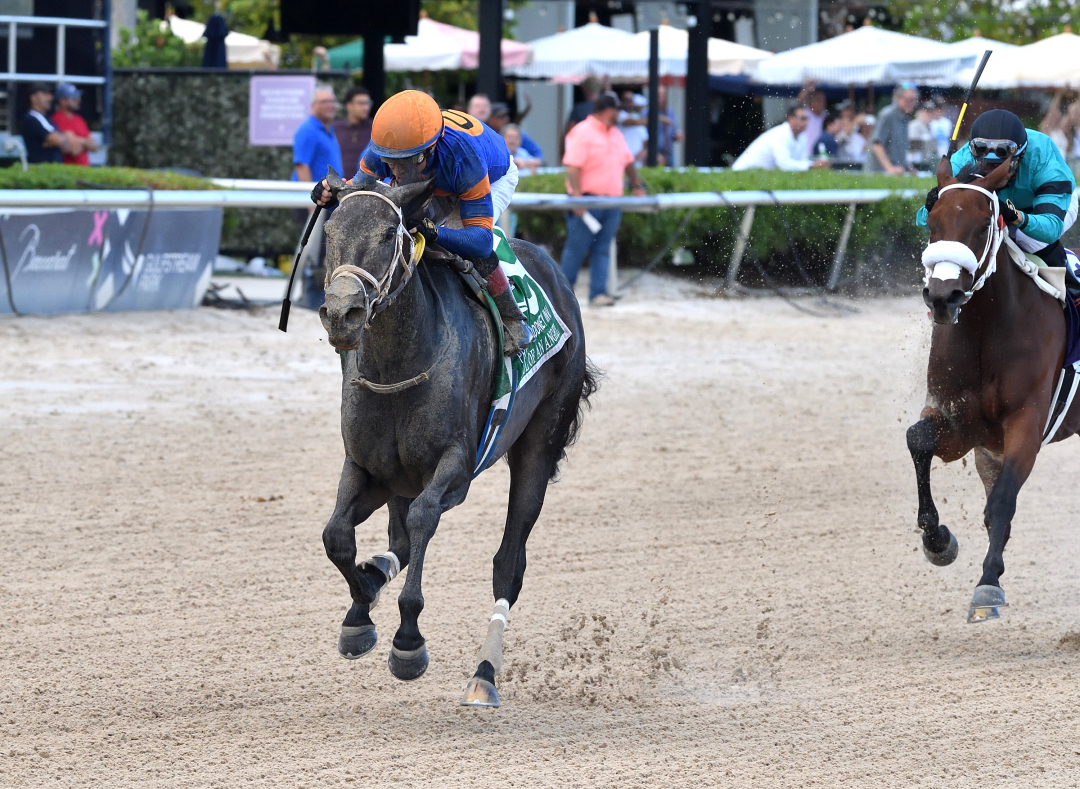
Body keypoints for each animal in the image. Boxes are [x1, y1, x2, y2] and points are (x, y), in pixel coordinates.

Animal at [313, 171, 600, 703]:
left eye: (389, 232)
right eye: (330, 230)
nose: (343, 313)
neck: (398, 364)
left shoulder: (455, 470)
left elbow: (424, 519)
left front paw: (407, 642)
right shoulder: (367, 467)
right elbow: (337, 535)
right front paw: (360, 611)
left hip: (539, 444)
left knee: (508, 565)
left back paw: (484, 674)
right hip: (399, 480)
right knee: (397, 541)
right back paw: (375, 576)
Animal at [907, 154, 1075, 621]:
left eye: (985, 224)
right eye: (932, 220)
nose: (943, 297)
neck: (985, 329)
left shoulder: (1027, 422)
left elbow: (1001, 501)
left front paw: (987, 587)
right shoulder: (965, 427)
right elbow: (918, 439)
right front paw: (939, 542)